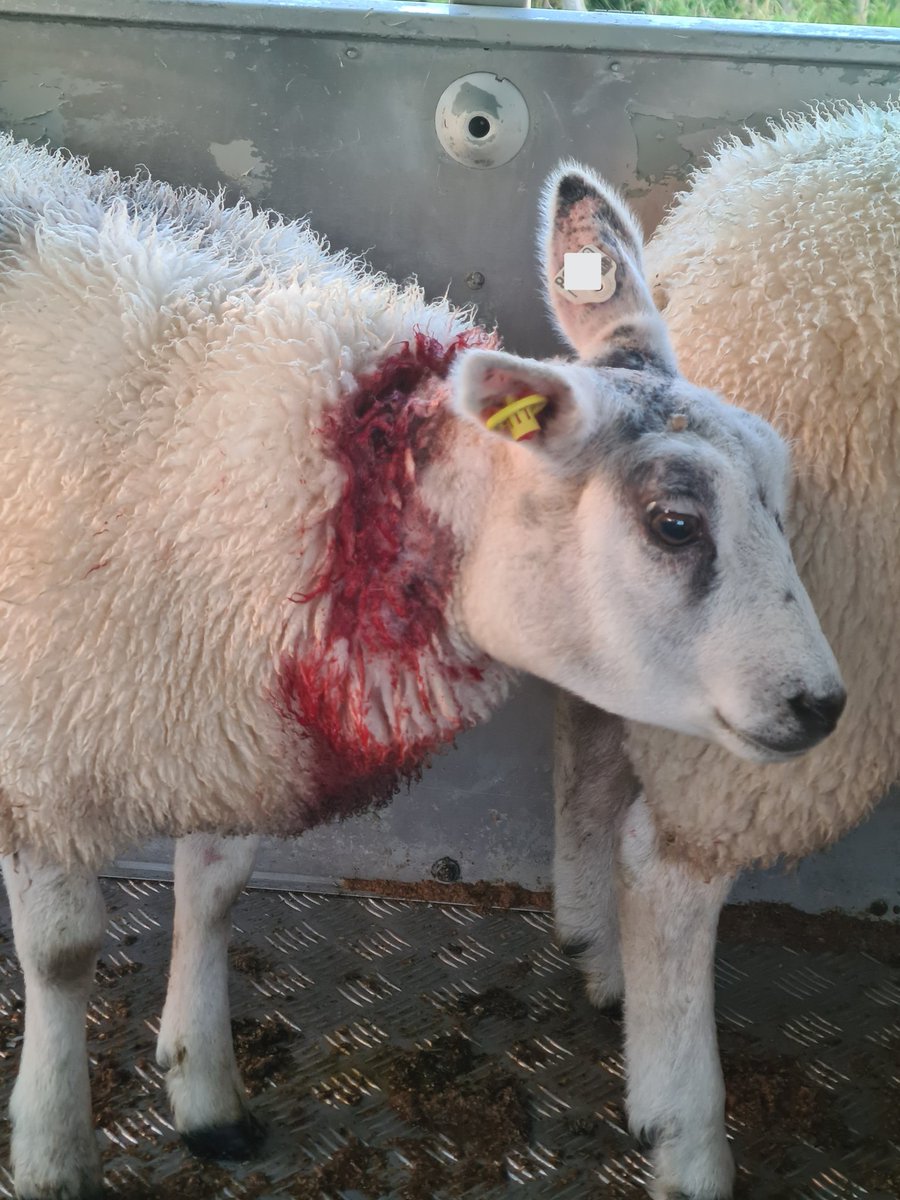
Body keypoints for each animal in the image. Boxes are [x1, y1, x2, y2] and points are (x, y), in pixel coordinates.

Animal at [0, 134, 843, 1200]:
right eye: (675, 523)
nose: (822, 706)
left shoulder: (232, 726)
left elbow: (214, 890)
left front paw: (206, 1094)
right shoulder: (41, 758)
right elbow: (64, 956)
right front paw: (51, 1150)